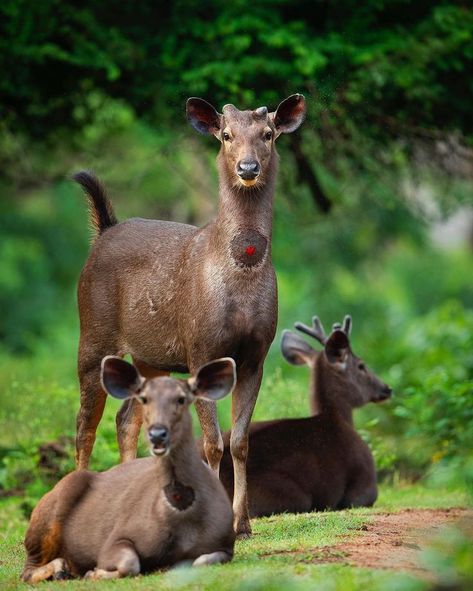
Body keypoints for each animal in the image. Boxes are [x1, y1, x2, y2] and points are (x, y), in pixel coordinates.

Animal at [21, 356, 236, 584]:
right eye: (145, 399)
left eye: (181, 399)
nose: (157, 434)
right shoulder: (117, 537)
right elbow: (130, 563)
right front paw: (94, 572)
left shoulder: (226, 545)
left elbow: (201, 560)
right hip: (48, 517)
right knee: (27, 570)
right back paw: (61, 569)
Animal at [72, 92, 304, 536]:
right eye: (226, 134)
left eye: (268, 133)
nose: (248, 168)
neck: (241, 282)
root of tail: (103, 232)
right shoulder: (201, 348)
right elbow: (211, 443)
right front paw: (217, 524)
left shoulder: (256, 355)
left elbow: (240, 441)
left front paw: (244, 523)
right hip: (92, 332)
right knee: (84, 426)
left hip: (150, 355)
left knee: (126, 418)